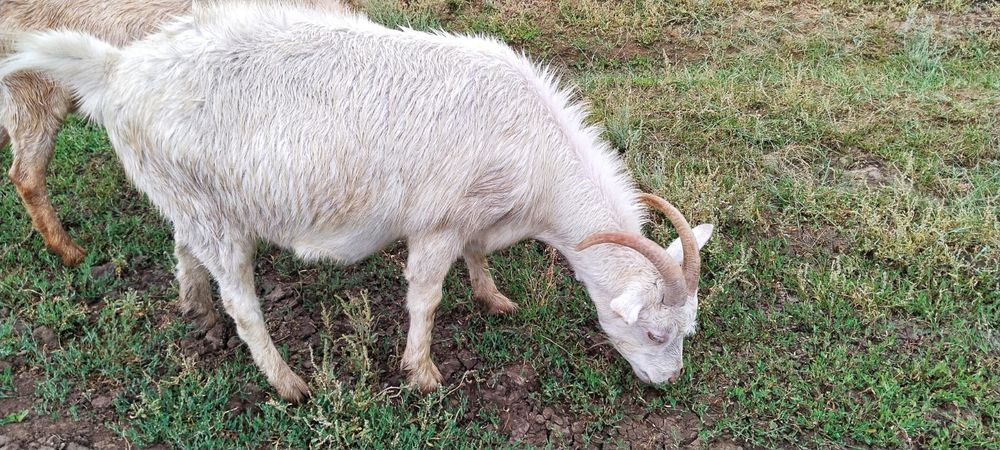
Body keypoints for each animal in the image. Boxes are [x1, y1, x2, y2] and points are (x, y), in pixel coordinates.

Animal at [0, 2, 714, 402]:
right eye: (654, 331)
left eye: (686, 330)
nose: (668, 382)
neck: (535, 155)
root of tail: (117, 71)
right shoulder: (437, 221)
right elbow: (426, 296)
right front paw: (421, 371)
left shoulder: (475, 214)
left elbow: (478, 259)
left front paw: (493, 297)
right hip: (217, 216)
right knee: (242, 300)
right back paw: (286, 382)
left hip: (192, 196)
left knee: (184, 245)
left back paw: (196, 311)